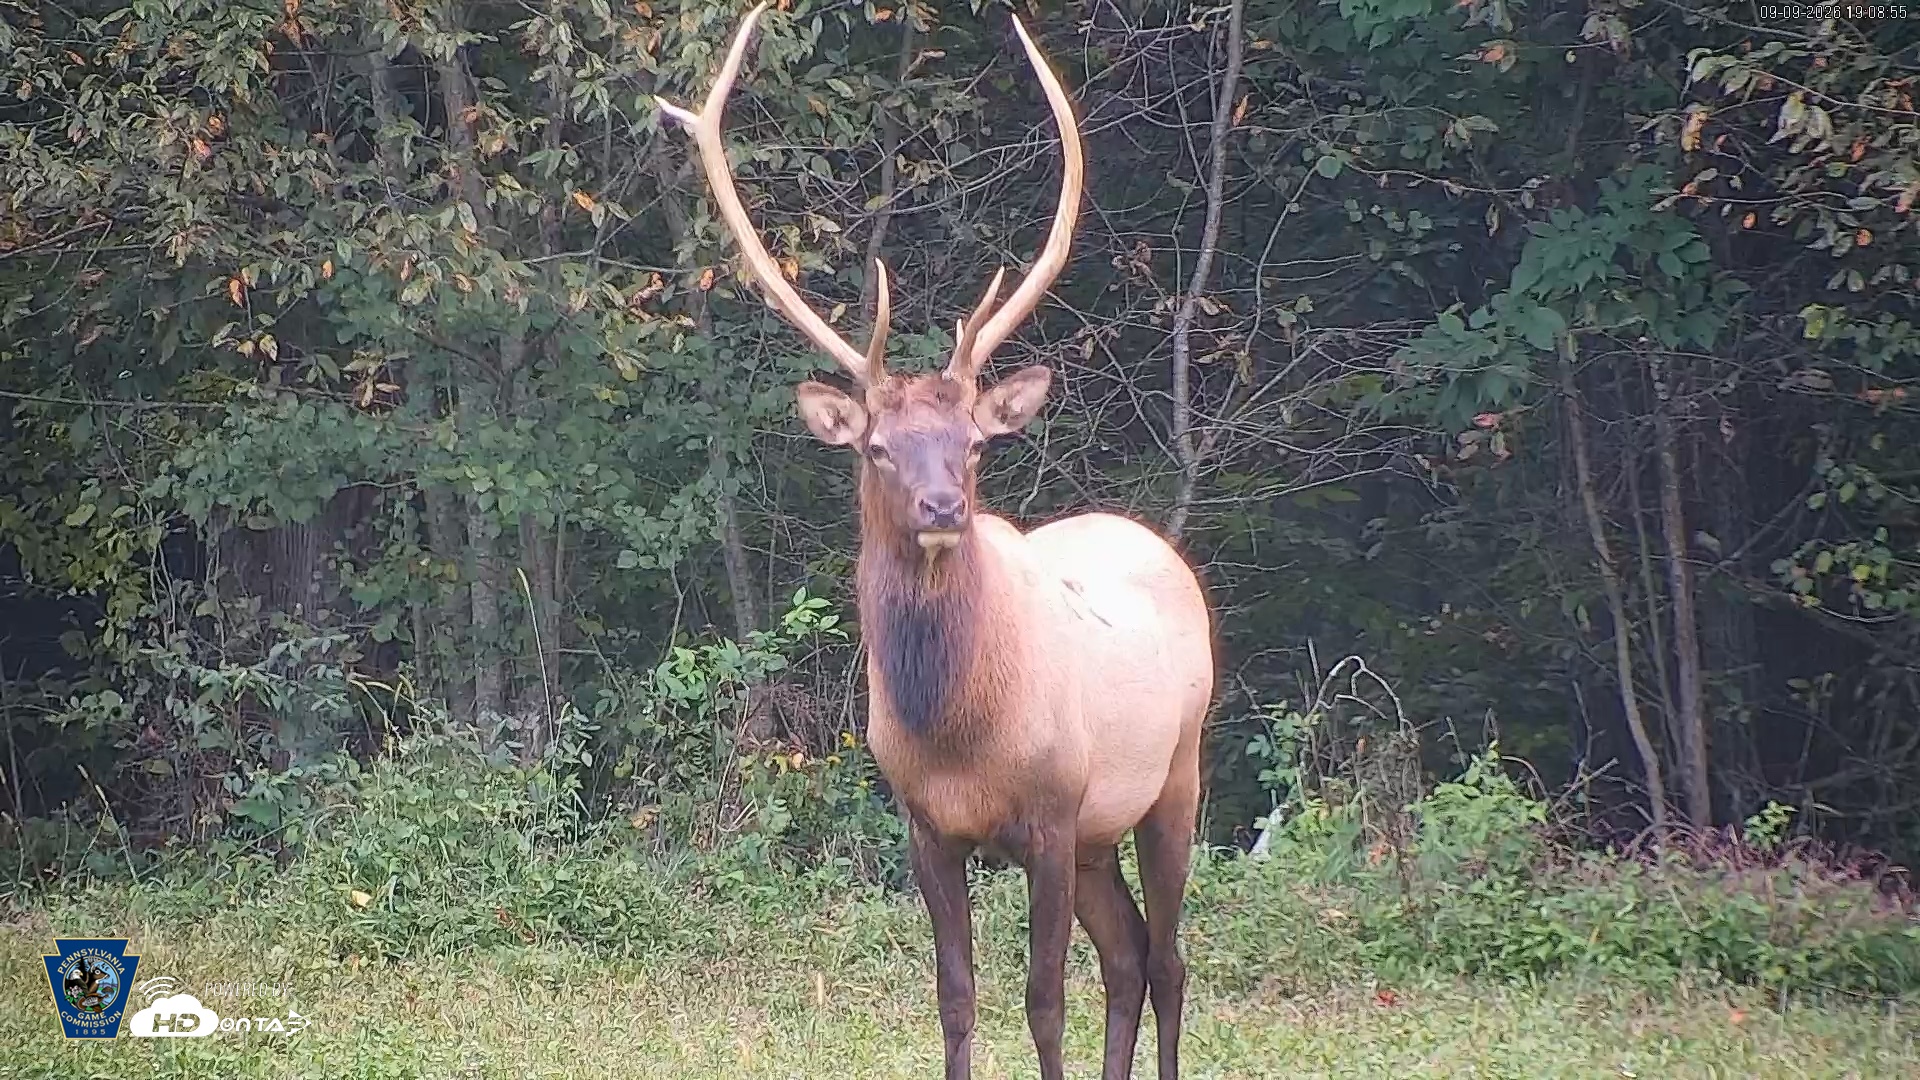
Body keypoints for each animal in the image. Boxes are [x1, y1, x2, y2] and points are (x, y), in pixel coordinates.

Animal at [656, 8, 1215, 1079]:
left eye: (974, 441)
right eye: (878, 446)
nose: (943, 506)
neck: (961, 734)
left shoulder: (1052, 811)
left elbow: (1043, 1001)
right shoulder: (925, 826)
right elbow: (956, 997)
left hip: (1175, 774)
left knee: (1168, 961)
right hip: (1102, 833)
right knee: (1128, 954)